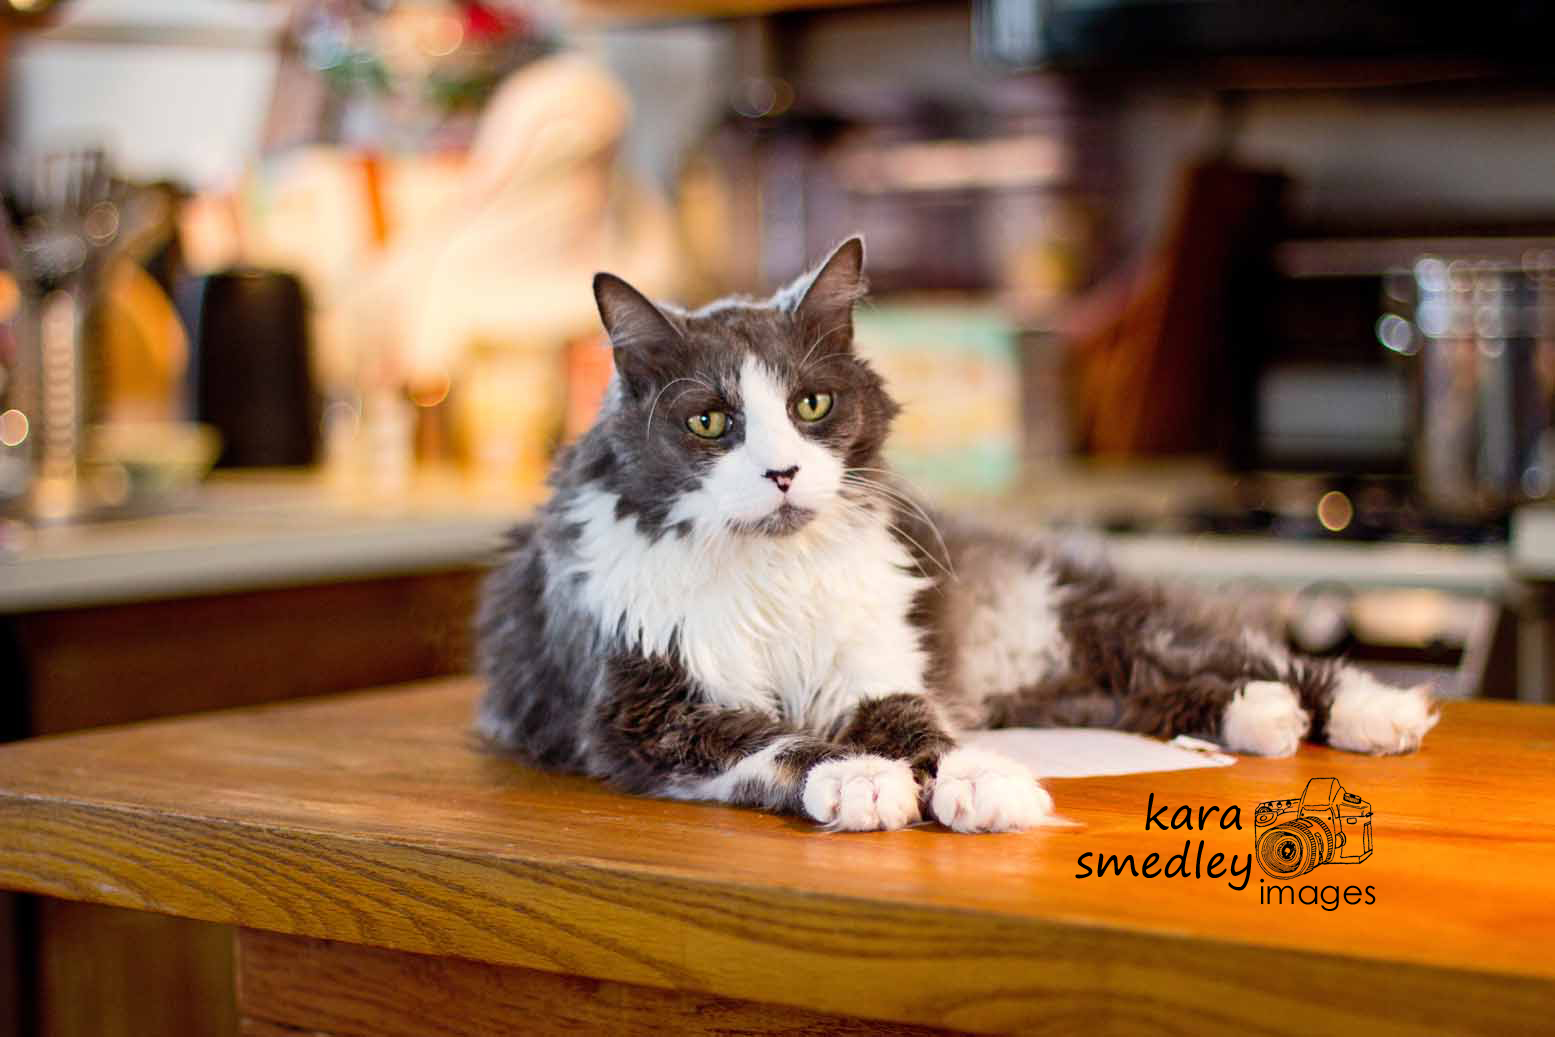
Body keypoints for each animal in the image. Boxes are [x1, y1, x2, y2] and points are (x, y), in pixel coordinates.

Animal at [475, 237, 1438, 833]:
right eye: (710, 422)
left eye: (811, 405)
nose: (782, 473)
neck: (772, 576)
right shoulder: (644, 712)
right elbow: (771, 740)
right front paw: (859, 780)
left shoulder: (875, 665)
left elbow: (922, 732)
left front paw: (981, 784)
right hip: (1051, 680)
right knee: (1153, 687)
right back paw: (1260, 718)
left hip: (1079, 614)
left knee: (1248, 653)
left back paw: (1373, 712)